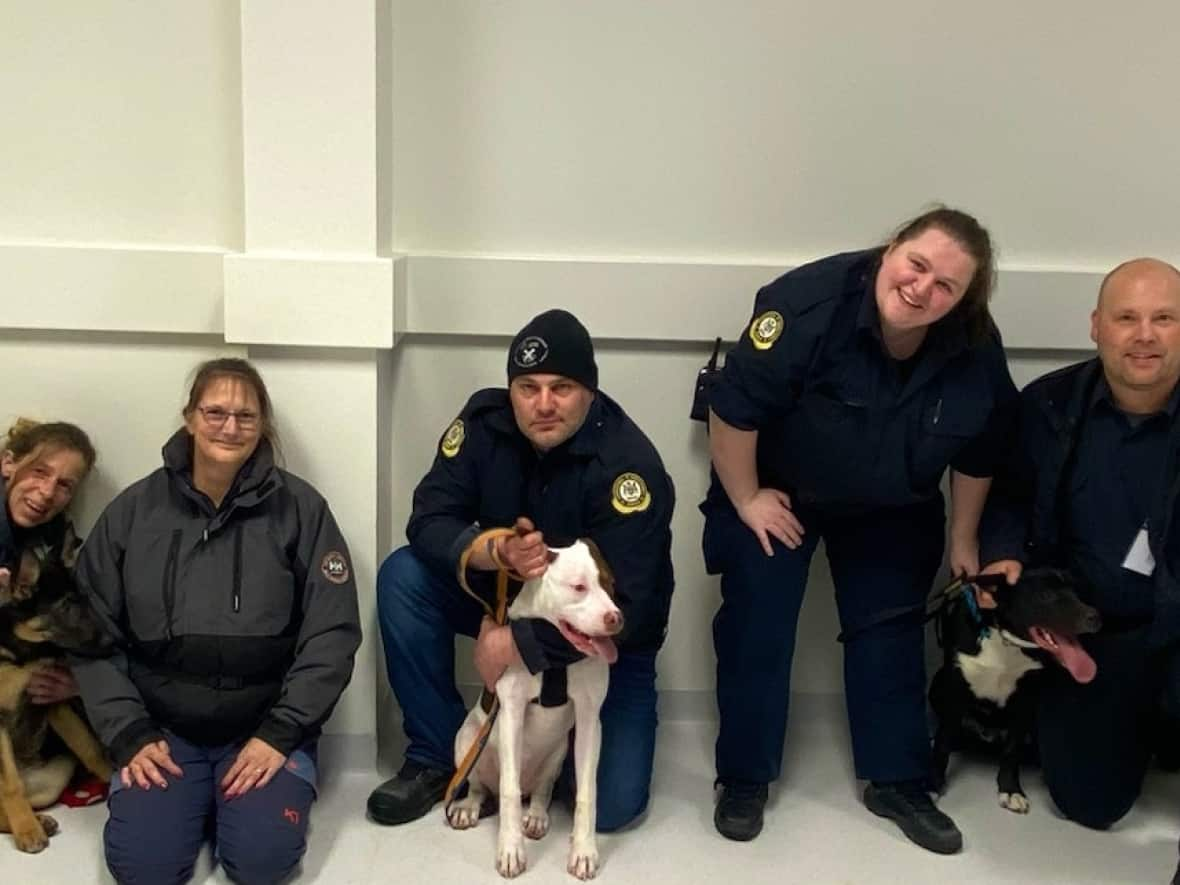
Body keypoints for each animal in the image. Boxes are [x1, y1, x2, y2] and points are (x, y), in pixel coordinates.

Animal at [0, 556, 113, 854]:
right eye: (66, 604)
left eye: (83, 598)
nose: (111, 641)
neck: (25, 650)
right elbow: (11, 785)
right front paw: (27, 830)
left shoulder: (54, 703)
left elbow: (90, 747)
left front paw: (114, 773)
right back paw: (35, 824)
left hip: (57, 775)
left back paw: (42, 820)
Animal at [446, 540, 623, 882]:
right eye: (579, 587)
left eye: (610, 584)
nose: (616, 618)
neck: (554, 661)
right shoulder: (511, 712)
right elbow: (509, 790)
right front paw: (510, 849)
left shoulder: (590, 718)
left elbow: (587, 792)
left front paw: (583, 851)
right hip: (467, 740)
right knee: (482, 787)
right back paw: (468, 807)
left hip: (556, 756)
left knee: (541, 792)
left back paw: (537, 817)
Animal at [929, 571, 1104, 816]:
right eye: (1045, 595)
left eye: (1078, 592)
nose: (1095, 618)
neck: (1006, 643)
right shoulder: (954, 692)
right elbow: (943, 744)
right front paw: (932, 784)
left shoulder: (1026, 701)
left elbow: (1012, 751)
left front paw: (1011, 790)